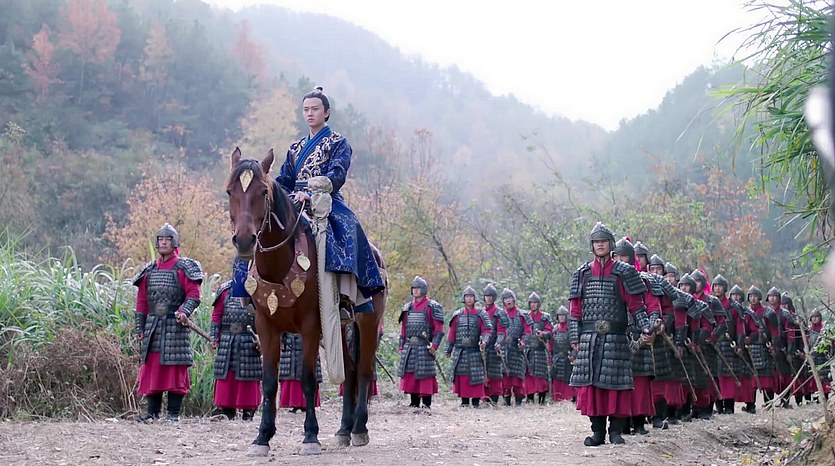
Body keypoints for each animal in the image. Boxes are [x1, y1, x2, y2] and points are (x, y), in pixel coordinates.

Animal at [226, 147, 387, 456]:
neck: (279, 264)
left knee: (363, 371)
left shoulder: (312, 326)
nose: (244, 240)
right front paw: (262, 438)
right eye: (230, 191)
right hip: (337, 326)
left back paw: (359, 429)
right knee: (349, 370)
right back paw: (343, 430)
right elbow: (268, 383)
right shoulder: (266, 325)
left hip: (369, 320)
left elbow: (308, 380)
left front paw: (311, 436)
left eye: (263, 192)